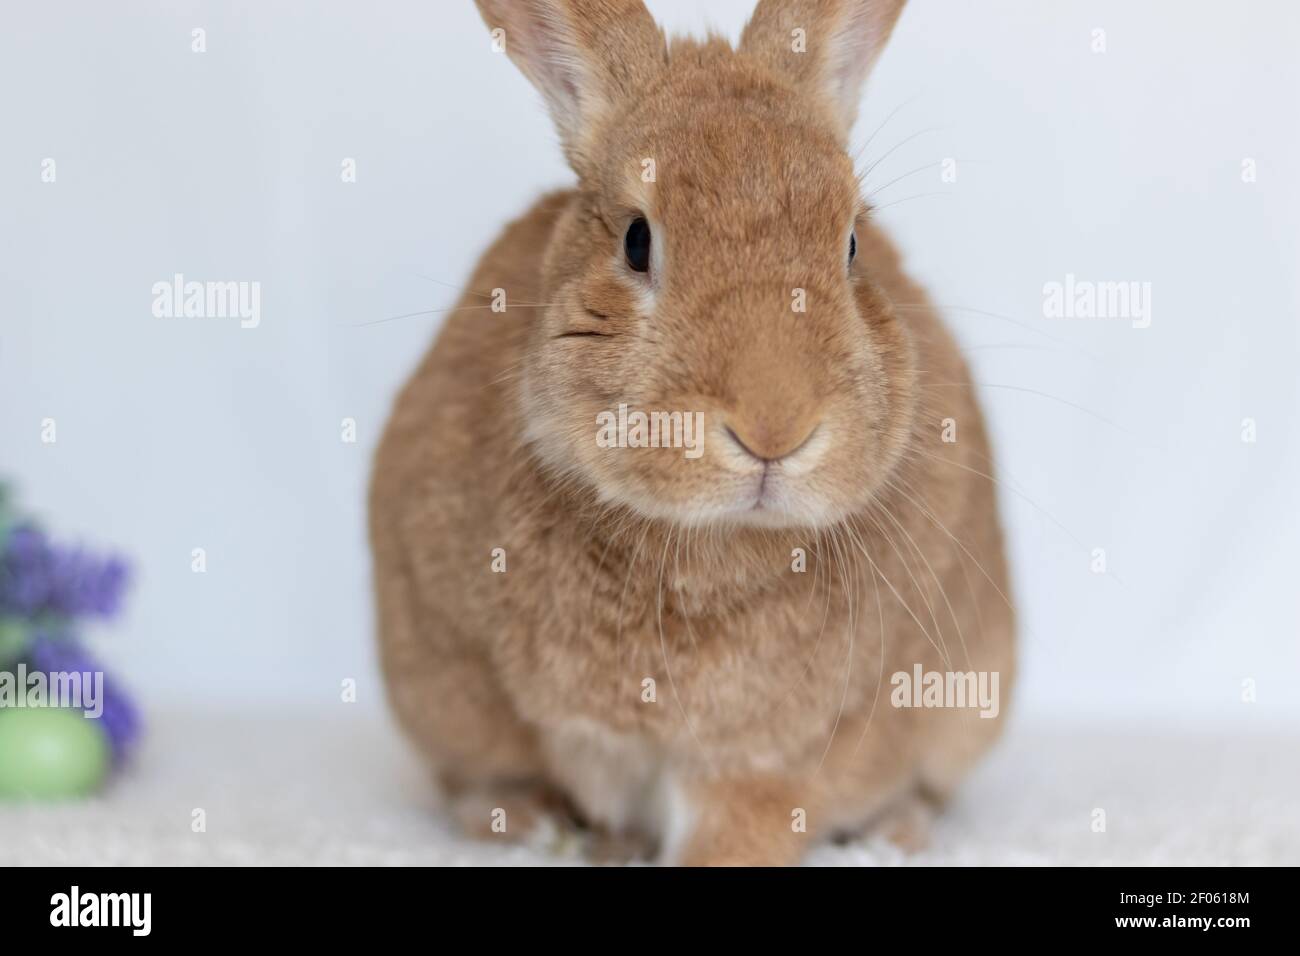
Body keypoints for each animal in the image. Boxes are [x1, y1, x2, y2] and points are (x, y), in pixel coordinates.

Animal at [370, 0, 1015, 866]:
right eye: (637, 240)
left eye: (851, 243)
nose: (775, 426)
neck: (703, 545)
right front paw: (546, 828)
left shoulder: (762, 763)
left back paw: (889, 835)